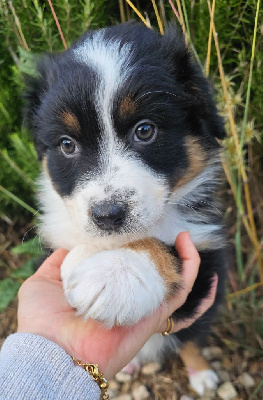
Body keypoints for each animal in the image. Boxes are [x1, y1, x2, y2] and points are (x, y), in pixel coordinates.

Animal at [24, 21, 227, 394]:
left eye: (144, 130)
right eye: (67, 145)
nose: (107, 215)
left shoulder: (205, 252)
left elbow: (162, 248)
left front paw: (114, 273)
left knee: (191, 339)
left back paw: (201, 374)